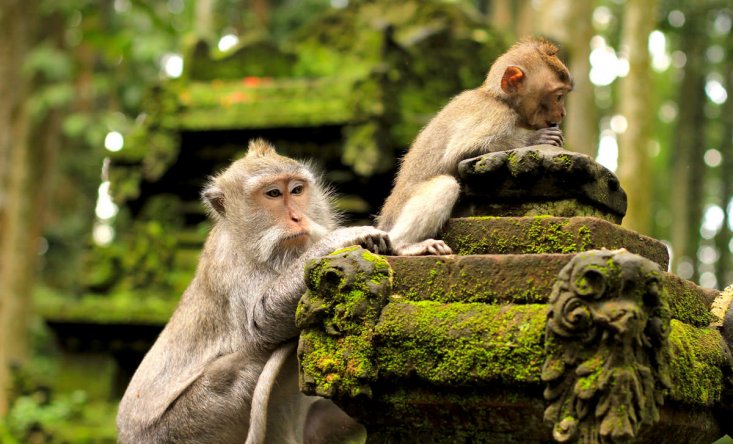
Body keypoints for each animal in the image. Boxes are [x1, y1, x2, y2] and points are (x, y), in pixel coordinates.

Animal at [117, 139, 389, 444]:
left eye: (297, 190)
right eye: (273, 194)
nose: (298, 217)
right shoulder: (231, 263)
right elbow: (260, 322)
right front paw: (340, 238)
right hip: (183, 426)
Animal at [377, 38, 573, 256]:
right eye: (558, 96)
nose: (562, 113)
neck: (498, 98)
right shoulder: (496, 115)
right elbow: (459, 152)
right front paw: (536, 138)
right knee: (446, 185)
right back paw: (404, 245)